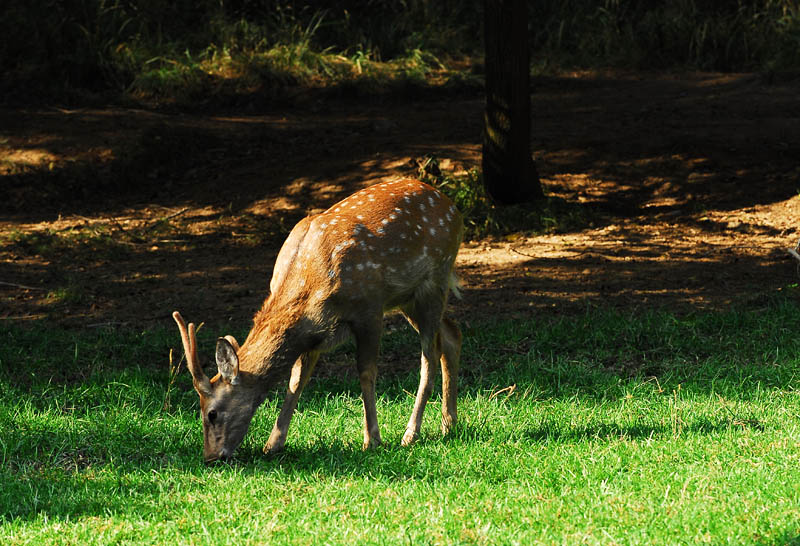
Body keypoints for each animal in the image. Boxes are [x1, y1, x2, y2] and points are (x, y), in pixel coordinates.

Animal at [173, 178, 463, 463]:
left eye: (211, 413)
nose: (210, 457)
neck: (309, 284)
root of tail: (452, 206)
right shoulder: (313, 332)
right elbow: (296, 380)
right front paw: (273, 444)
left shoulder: (369, 308)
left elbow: (366, 372)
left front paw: (372, 440)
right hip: (408, 298)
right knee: (451, 333)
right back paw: (448, 424)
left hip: (434, 279)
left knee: (429, 356)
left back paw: (411, 433)